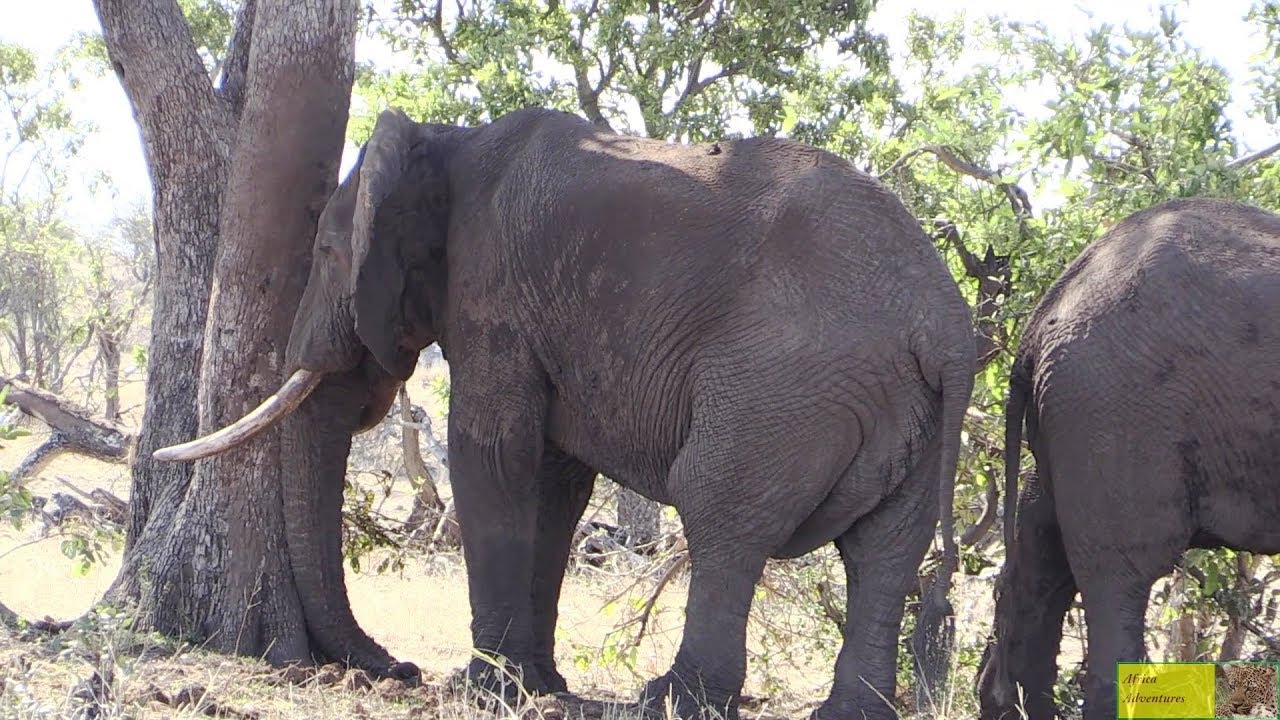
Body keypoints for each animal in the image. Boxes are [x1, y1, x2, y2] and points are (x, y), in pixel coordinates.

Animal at [155, 106, 976, 720]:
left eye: (328, 253)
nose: (397, 669)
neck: (451, 140)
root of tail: (947, 327)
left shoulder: (493, 289)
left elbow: (492, 457)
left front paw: (484, 689)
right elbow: (553, 483)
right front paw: (536, 686)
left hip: (782, 387)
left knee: (721, 511)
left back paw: (668, 699)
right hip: (916, 413)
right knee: (884, 551)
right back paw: (846, 714)